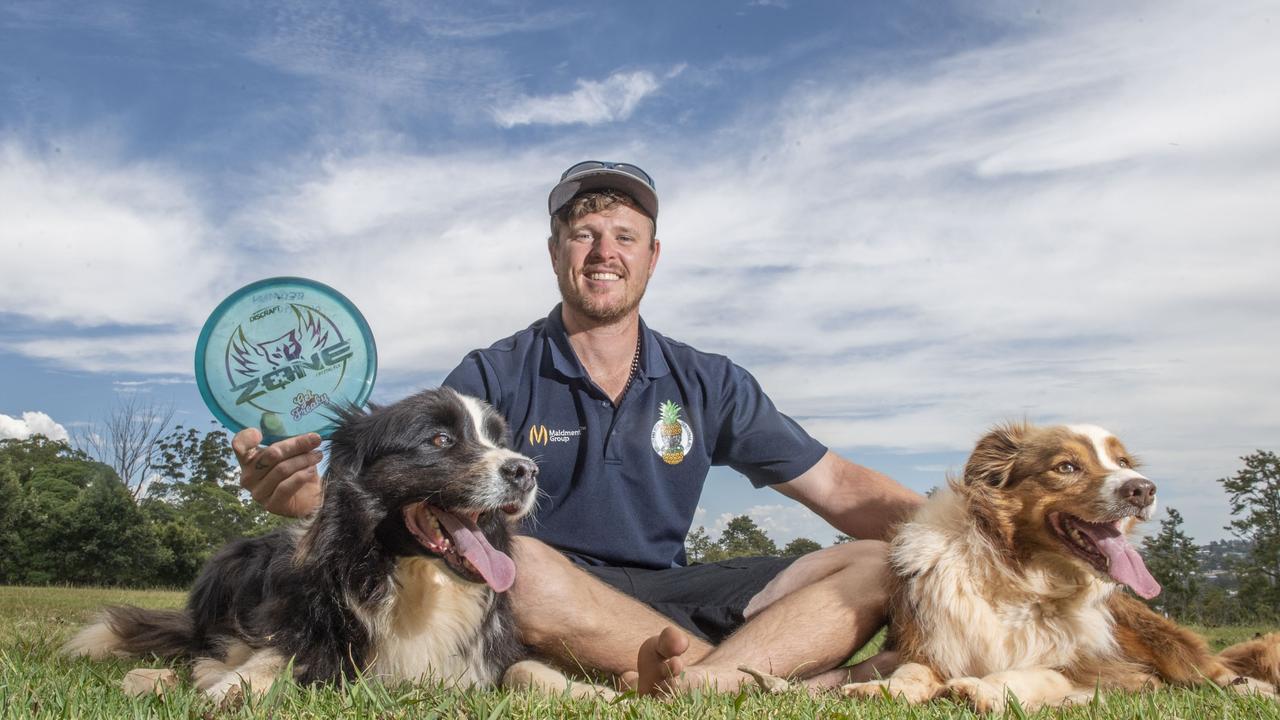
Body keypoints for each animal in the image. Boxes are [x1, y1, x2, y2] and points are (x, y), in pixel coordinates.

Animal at [64, 386, 593, 696]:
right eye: (440, 440)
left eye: (499, 441)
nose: (527, 472)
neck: (415, 577)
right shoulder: (312, 625)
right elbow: (284, 652)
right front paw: (235, 685)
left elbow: (523, 668)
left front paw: (590, 692)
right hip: (231, 561)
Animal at [839, 422, 1280, 707]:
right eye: (1066, 466)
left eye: (1123, 463)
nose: (1143, 489)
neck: (1018, 579)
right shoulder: (932, 645)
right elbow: (911, 670)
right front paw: (881, 689)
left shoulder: (1125, 673)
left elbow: (1046, 671)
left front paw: (984, 688)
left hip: (1161, 639)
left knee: (1217, 670)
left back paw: (1249, 687)